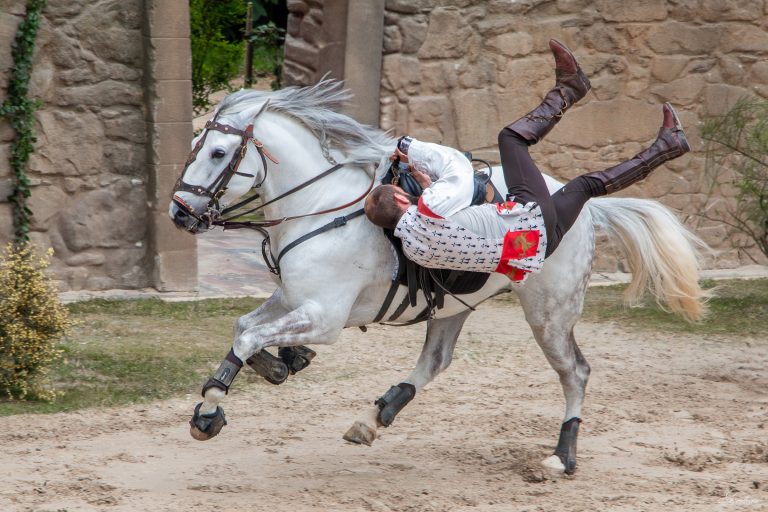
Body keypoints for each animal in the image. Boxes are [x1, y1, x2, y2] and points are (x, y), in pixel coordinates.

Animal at [169, 80, 706, 475]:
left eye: (217, 153)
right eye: (197, 146)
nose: (179, 213)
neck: (323, 208)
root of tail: (584, 212)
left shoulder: (325, 317)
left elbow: (248, 336)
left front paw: (210, 411)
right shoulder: (293, 297)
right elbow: (245, 327)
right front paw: (281, 363)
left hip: (549, 314)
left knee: (575, 371)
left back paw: (562, 456)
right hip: (452, 306)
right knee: (436, 361)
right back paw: (375, 416)